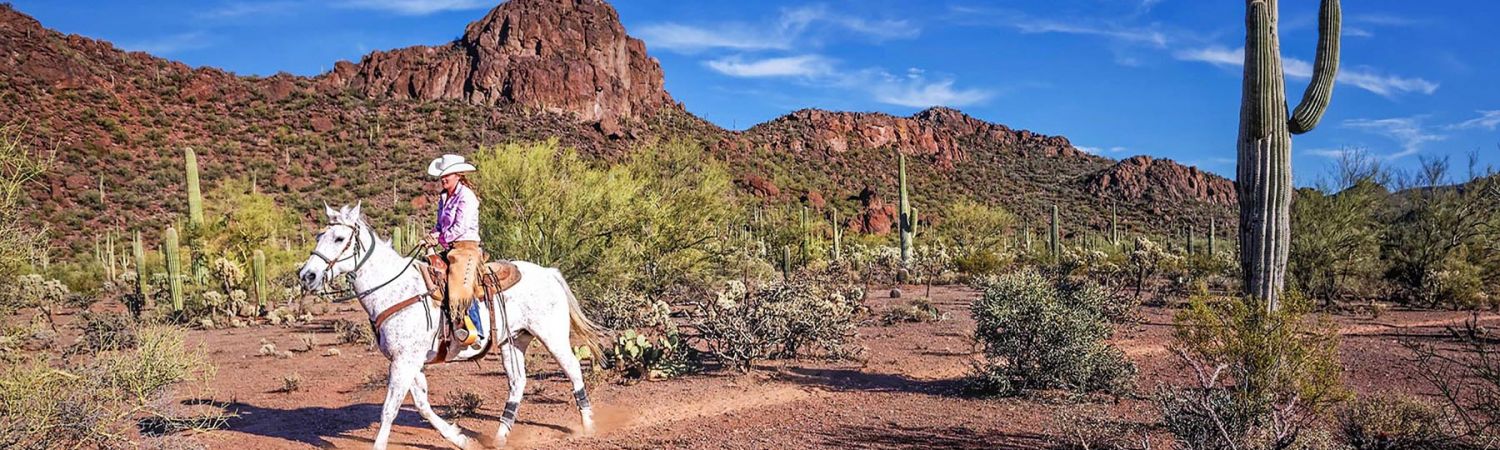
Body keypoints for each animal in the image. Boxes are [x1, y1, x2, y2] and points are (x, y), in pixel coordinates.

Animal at [297, 203, 602, 449]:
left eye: (339, 238)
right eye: (319, 236)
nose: (307, 275)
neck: (394, 289)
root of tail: (549, 273)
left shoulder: (404, 361)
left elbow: (389, 409)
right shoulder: (409, 361)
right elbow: (422, 405)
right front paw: (461, 439)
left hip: (552, 336)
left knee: (573, 369)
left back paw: (588, 428)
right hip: (513, 341)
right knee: (517, 383)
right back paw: (500, 437)